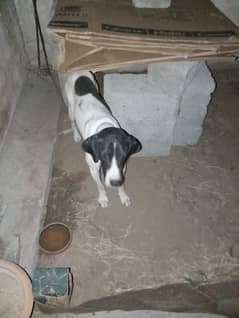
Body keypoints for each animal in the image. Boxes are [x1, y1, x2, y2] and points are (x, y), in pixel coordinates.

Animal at [62, 71, 143, 207]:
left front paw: (123, 196)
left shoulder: (123, 167)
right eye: (104, 156)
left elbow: (122, 185)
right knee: (72, 122)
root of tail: (78, 71)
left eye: (123, 156)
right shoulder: (93, 169)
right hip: (71, 110)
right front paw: (103, 198)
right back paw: (76, 135)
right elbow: (100, 185)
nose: (115, 183)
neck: (104, 125)